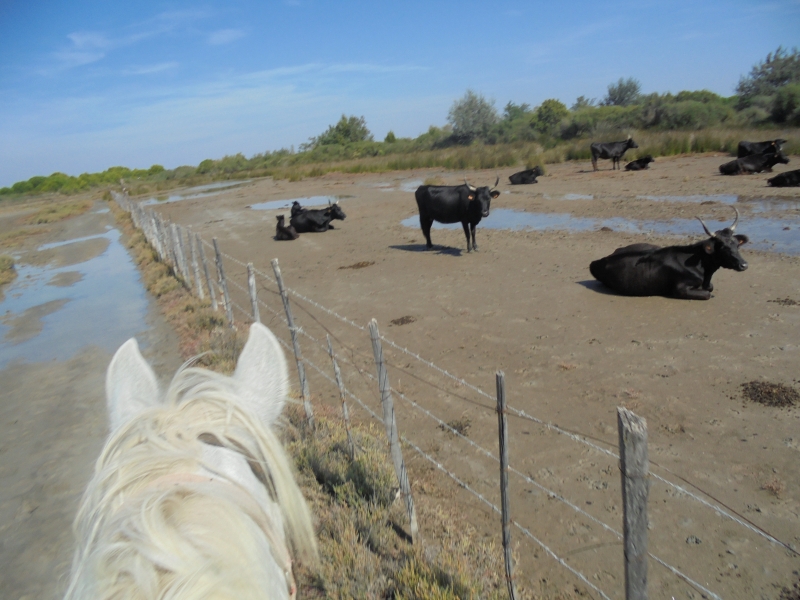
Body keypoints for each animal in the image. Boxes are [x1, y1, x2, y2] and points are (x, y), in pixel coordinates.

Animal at [588, 207, 752, 300]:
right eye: (723, 247)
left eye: (736, 244)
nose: (744, 265)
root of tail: (600, 260)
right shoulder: (680, 289)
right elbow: (707, 294)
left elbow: (710, 287)